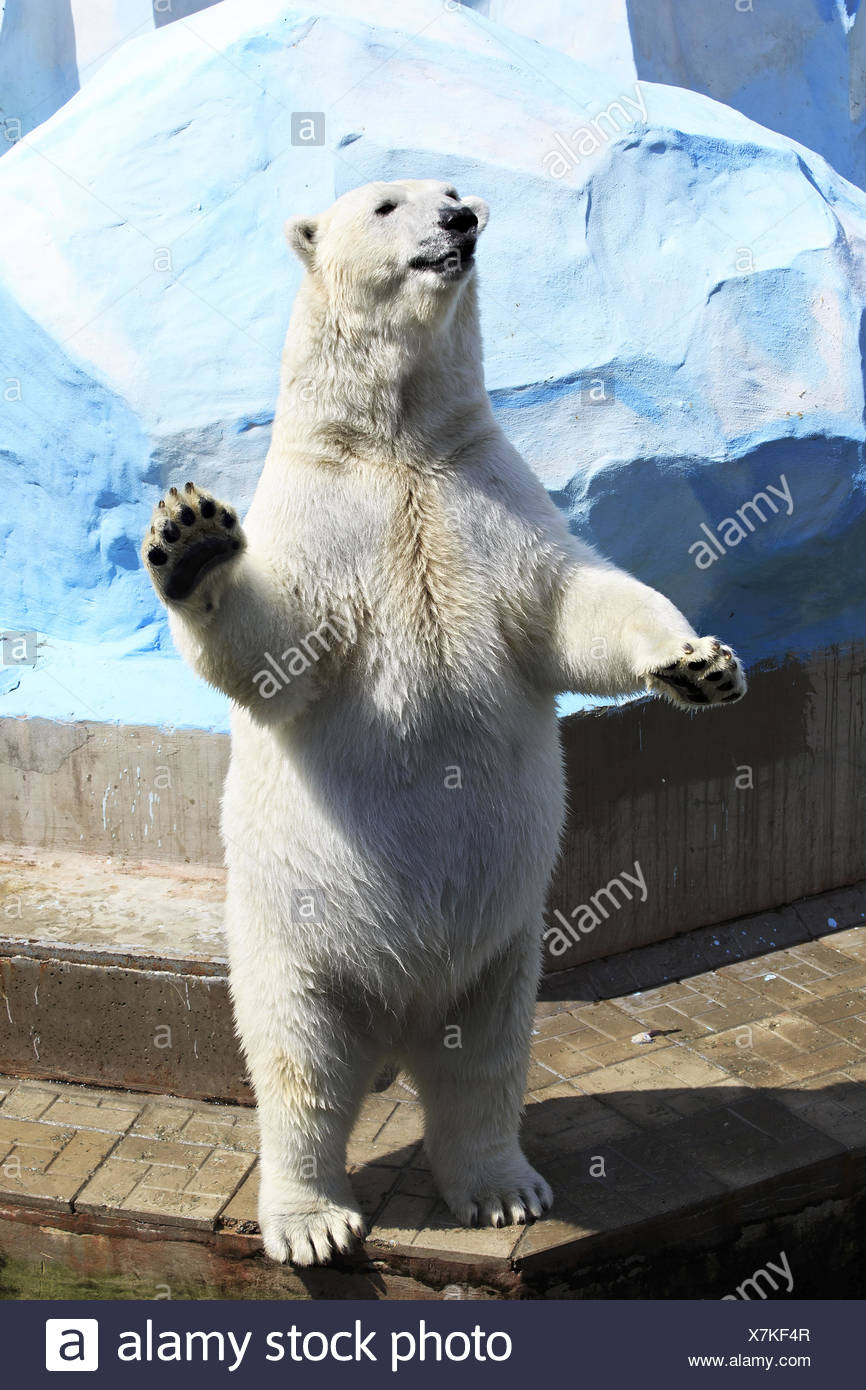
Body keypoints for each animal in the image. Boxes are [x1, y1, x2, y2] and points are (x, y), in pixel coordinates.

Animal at [142, 178, 746, 1267]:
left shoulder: (484, 492)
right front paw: (196, 540)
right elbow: (276, 652)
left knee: (484, 1064)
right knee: (299, 1068)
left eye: (457, 191)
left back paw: (500, 1188)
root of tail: (397, 1027)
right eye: (390, 204)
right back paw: (311, 1219)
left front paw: (698, 665)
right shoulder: (324, 513)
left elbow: (573, 605)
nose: (460, 221)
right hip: (295, 947)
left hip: (505, 949)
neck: (395, 441)